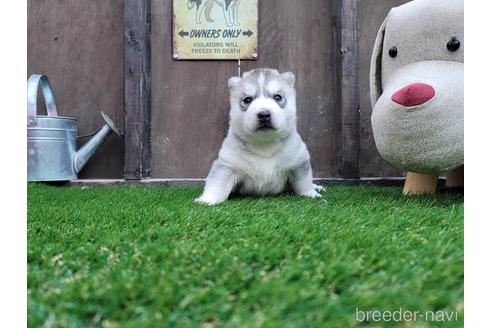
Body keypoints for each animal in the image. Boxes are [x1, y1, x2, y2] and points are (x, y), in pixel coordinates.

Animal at [196, 67, 326, 204]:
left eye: (277, 97)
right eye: (247, 99)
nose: (264, 114)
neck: (264, 144)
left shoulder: (299, 161)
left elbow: (304, 181)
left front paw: (311, 194)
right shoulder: (227, 165)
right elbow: (217, 183)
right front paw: (207, 199)